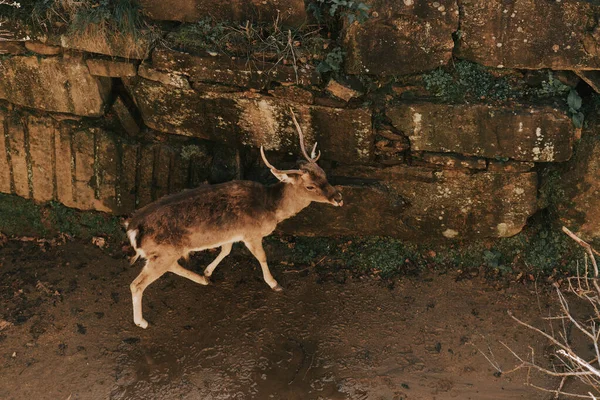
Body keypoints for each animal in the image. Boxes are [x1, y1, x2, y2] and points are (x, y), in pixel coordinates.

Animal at [124, 109, 344, 328]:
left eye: (324, 174)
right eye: (310, 186)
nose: (338, 198)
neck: (270, 207)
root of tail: (133, 228)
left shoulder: (232, 234)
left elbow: (226, 249)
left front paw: (208, 272)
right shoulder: (251, 234)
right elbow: (262, 256)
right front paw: (274, 284)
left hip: (164, 253)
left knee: (171, 266)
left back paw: (202, 280)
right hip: (163, 252)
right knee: (136, 284)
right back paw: (142, 322)